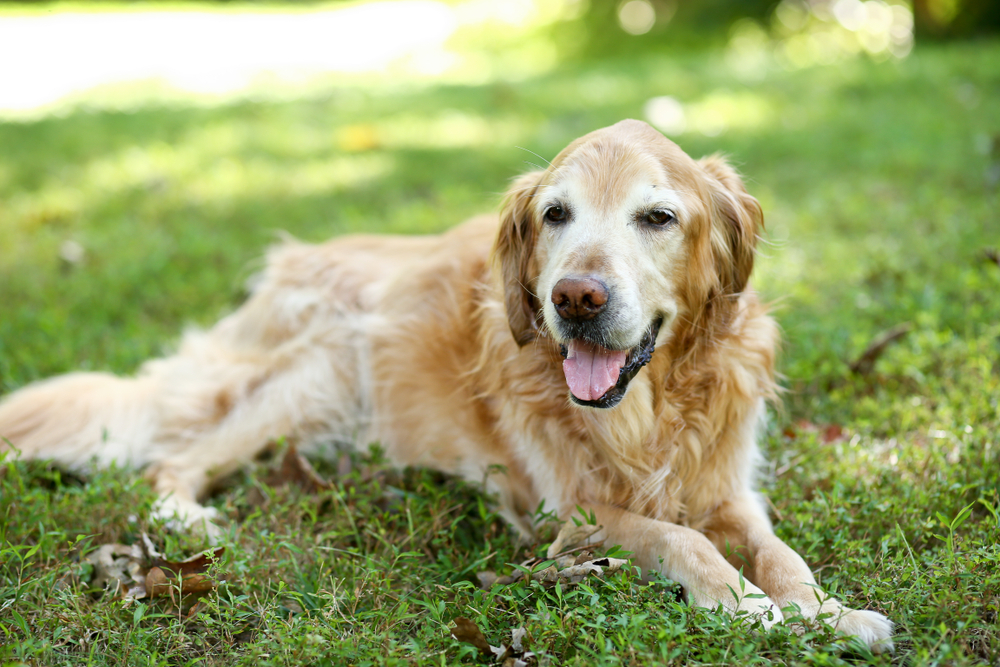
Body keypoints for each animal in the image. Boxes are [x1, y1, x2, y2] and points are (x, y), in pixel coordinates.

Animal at [0, 120, 892, 652]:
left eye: (658, 217)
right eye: (555, 214)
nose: (575, 298)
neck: (645, 412)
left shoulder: (731, 487)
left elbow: (780, 551)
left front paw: (828, 611)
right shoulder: (569, 515)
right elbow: (679, 538)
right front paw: (747, 605)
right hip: (318, 372)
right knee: (170, 461)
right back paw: (193, 515)